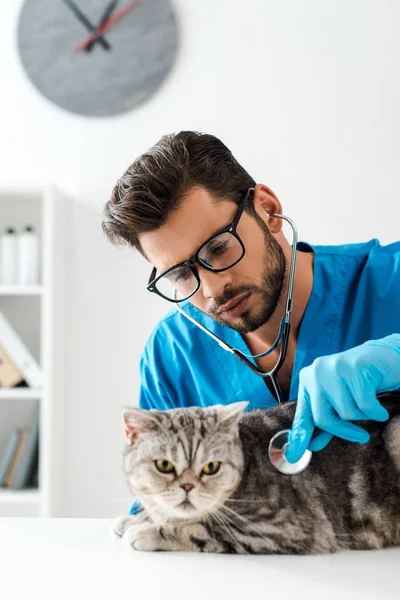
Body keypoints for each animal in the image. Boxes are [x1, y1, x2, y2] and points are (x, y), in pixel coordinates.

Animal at [111, 394, 400, 552]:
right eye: (165, 465)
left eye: (211, 467)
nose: (187, 488)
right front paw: (137, 519)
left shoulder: (282, 528)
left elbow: (203, 530)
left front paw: (148, 531)